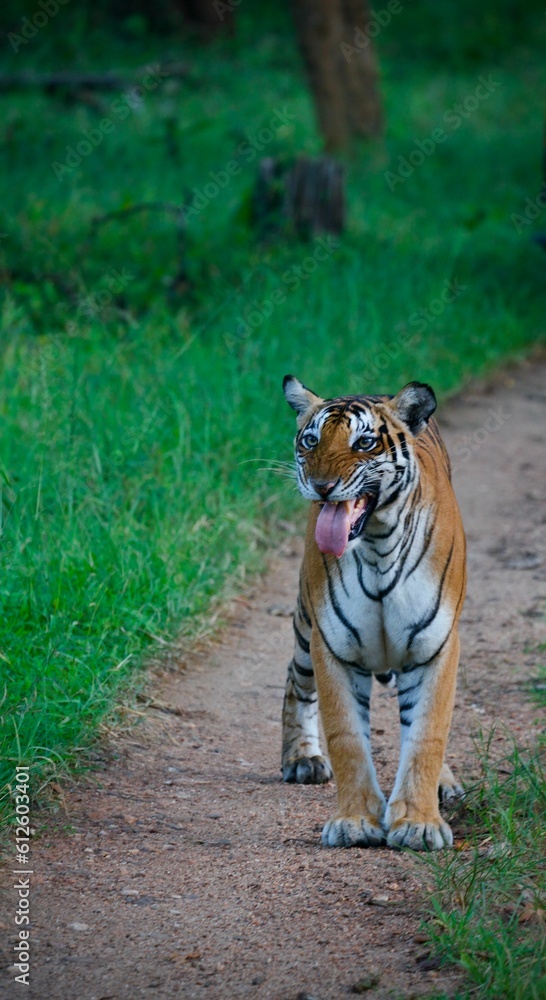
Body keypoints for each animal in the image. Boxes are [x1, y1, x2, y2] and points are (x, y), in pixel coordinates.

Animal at [281, 375, 466, 851]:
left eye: (364, 443)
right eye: (310, 440)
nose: (321, 485)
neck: (379, 541)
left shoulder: (435, 646)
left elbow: (426, 733)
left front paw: (419, 823)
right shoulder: (332, 645)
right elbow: (347, 736)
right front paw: (356, 821)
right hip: (304, 632)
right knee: (295, 682)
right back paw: (301, 758)